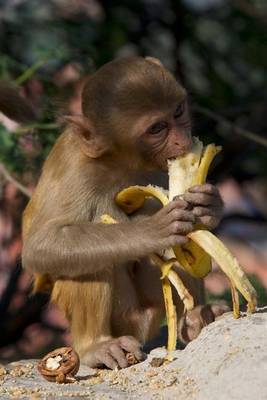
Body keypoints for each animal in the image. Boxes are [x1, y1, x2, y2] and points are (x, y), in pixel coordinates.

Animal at [19, 55, 227, 368]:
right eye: (157, 128)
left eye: (178, 111)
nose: (182, 140)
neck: (122, 161)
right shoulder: (74, 167)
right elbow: (40, 246)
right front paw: (152, 230)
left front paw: (209, 205)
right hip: (124, 319)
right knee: (85, 261)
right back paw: (96, 346)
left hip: (153, 311)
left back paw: (196, 319)